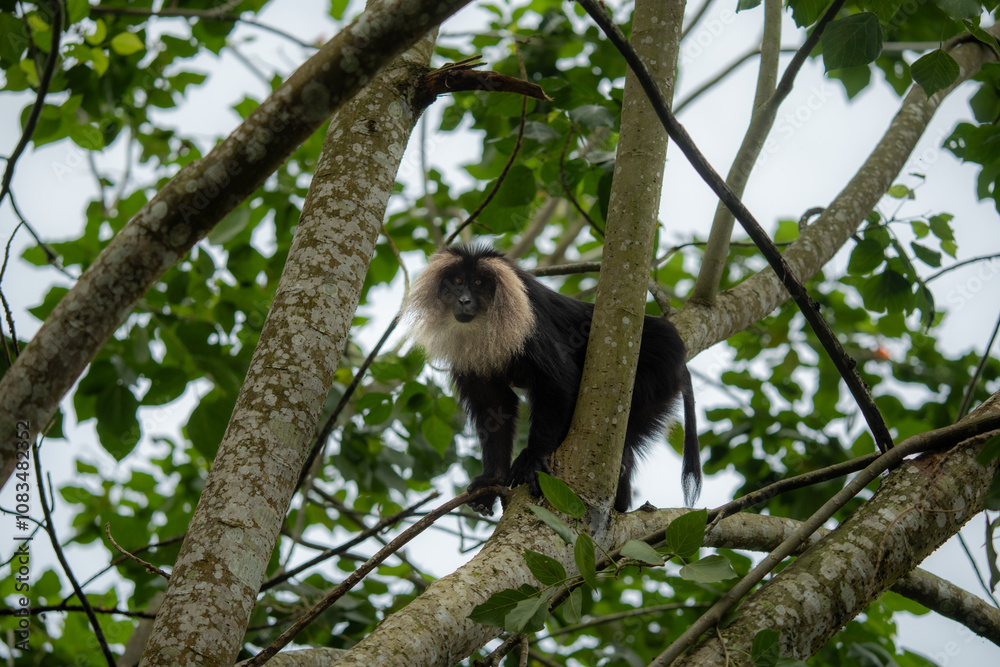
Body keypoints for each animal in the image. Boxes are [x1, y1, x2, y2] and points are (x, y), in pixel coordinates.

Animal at [403, 245, 699, 516]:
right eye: (457, 282)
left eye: (477, 284)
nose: (464, 300)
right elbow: (494, 406)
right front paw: (492, 479)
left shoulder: (531, 325)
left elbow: (558, 384)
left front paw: (534, 459)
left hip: (655, 374)